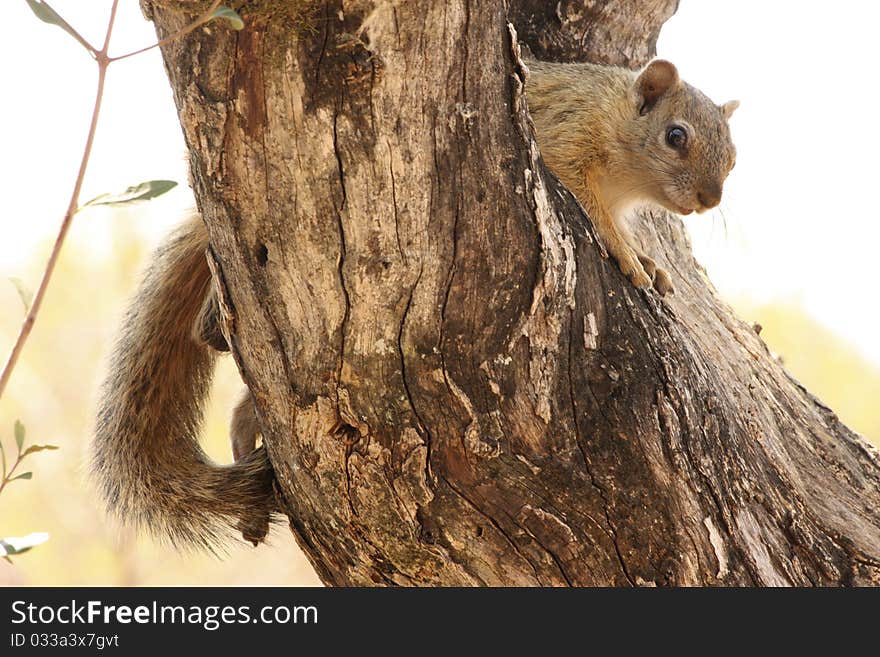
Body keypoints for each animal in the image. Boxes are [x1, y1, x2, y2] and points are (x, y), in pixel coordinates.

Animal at [524, 57, 740, 294]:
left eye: (733, 161)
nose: (711, 201)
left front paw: (643, 256)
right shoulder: (567, 130)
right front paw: (625, 252)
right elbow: (597, 213)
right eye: (675, 136)